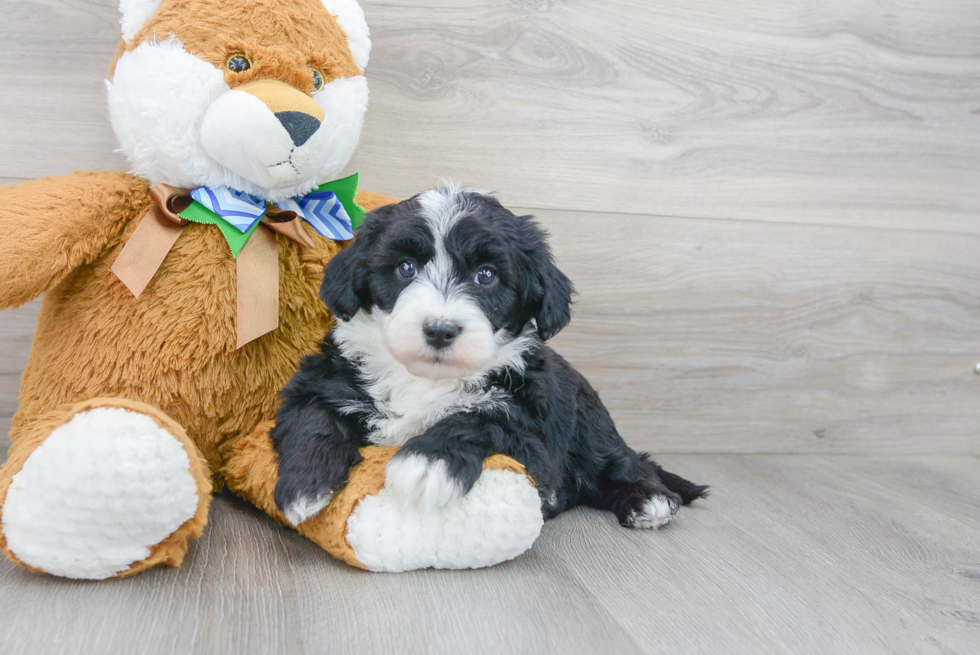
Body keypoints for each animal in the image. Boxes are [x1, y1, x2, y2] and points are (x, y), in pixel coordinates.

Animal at [272, 184, 708, 528]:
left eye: (486, 276)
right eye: (405, 268)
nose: (440, 329)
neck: (424, 380)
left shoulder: (532, 431)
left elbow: (478, 418)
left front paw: (426, 463)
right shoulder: (322, 380)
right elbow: (314, 417)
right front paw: (303, 484)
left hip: (590, 425)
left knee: (622, 462)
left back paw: (648, 498)